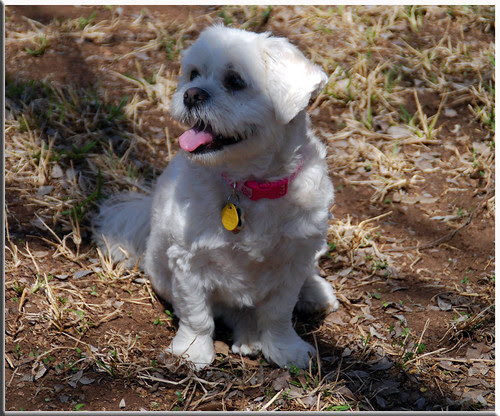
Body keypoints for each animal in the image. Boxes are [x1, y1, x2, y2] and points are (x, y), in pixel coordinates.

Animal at [94, 25, 339, 370]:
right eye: (193, 74)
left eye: (235, 81)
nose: (191, 94)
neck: (248, 185)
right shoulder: (188, 262)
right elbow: (197, 316)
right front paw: (192, 351)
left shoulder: (292, 263)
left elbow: (278, 315)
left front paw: (286, 349)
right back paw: (249, 335)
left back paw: (314, 292)